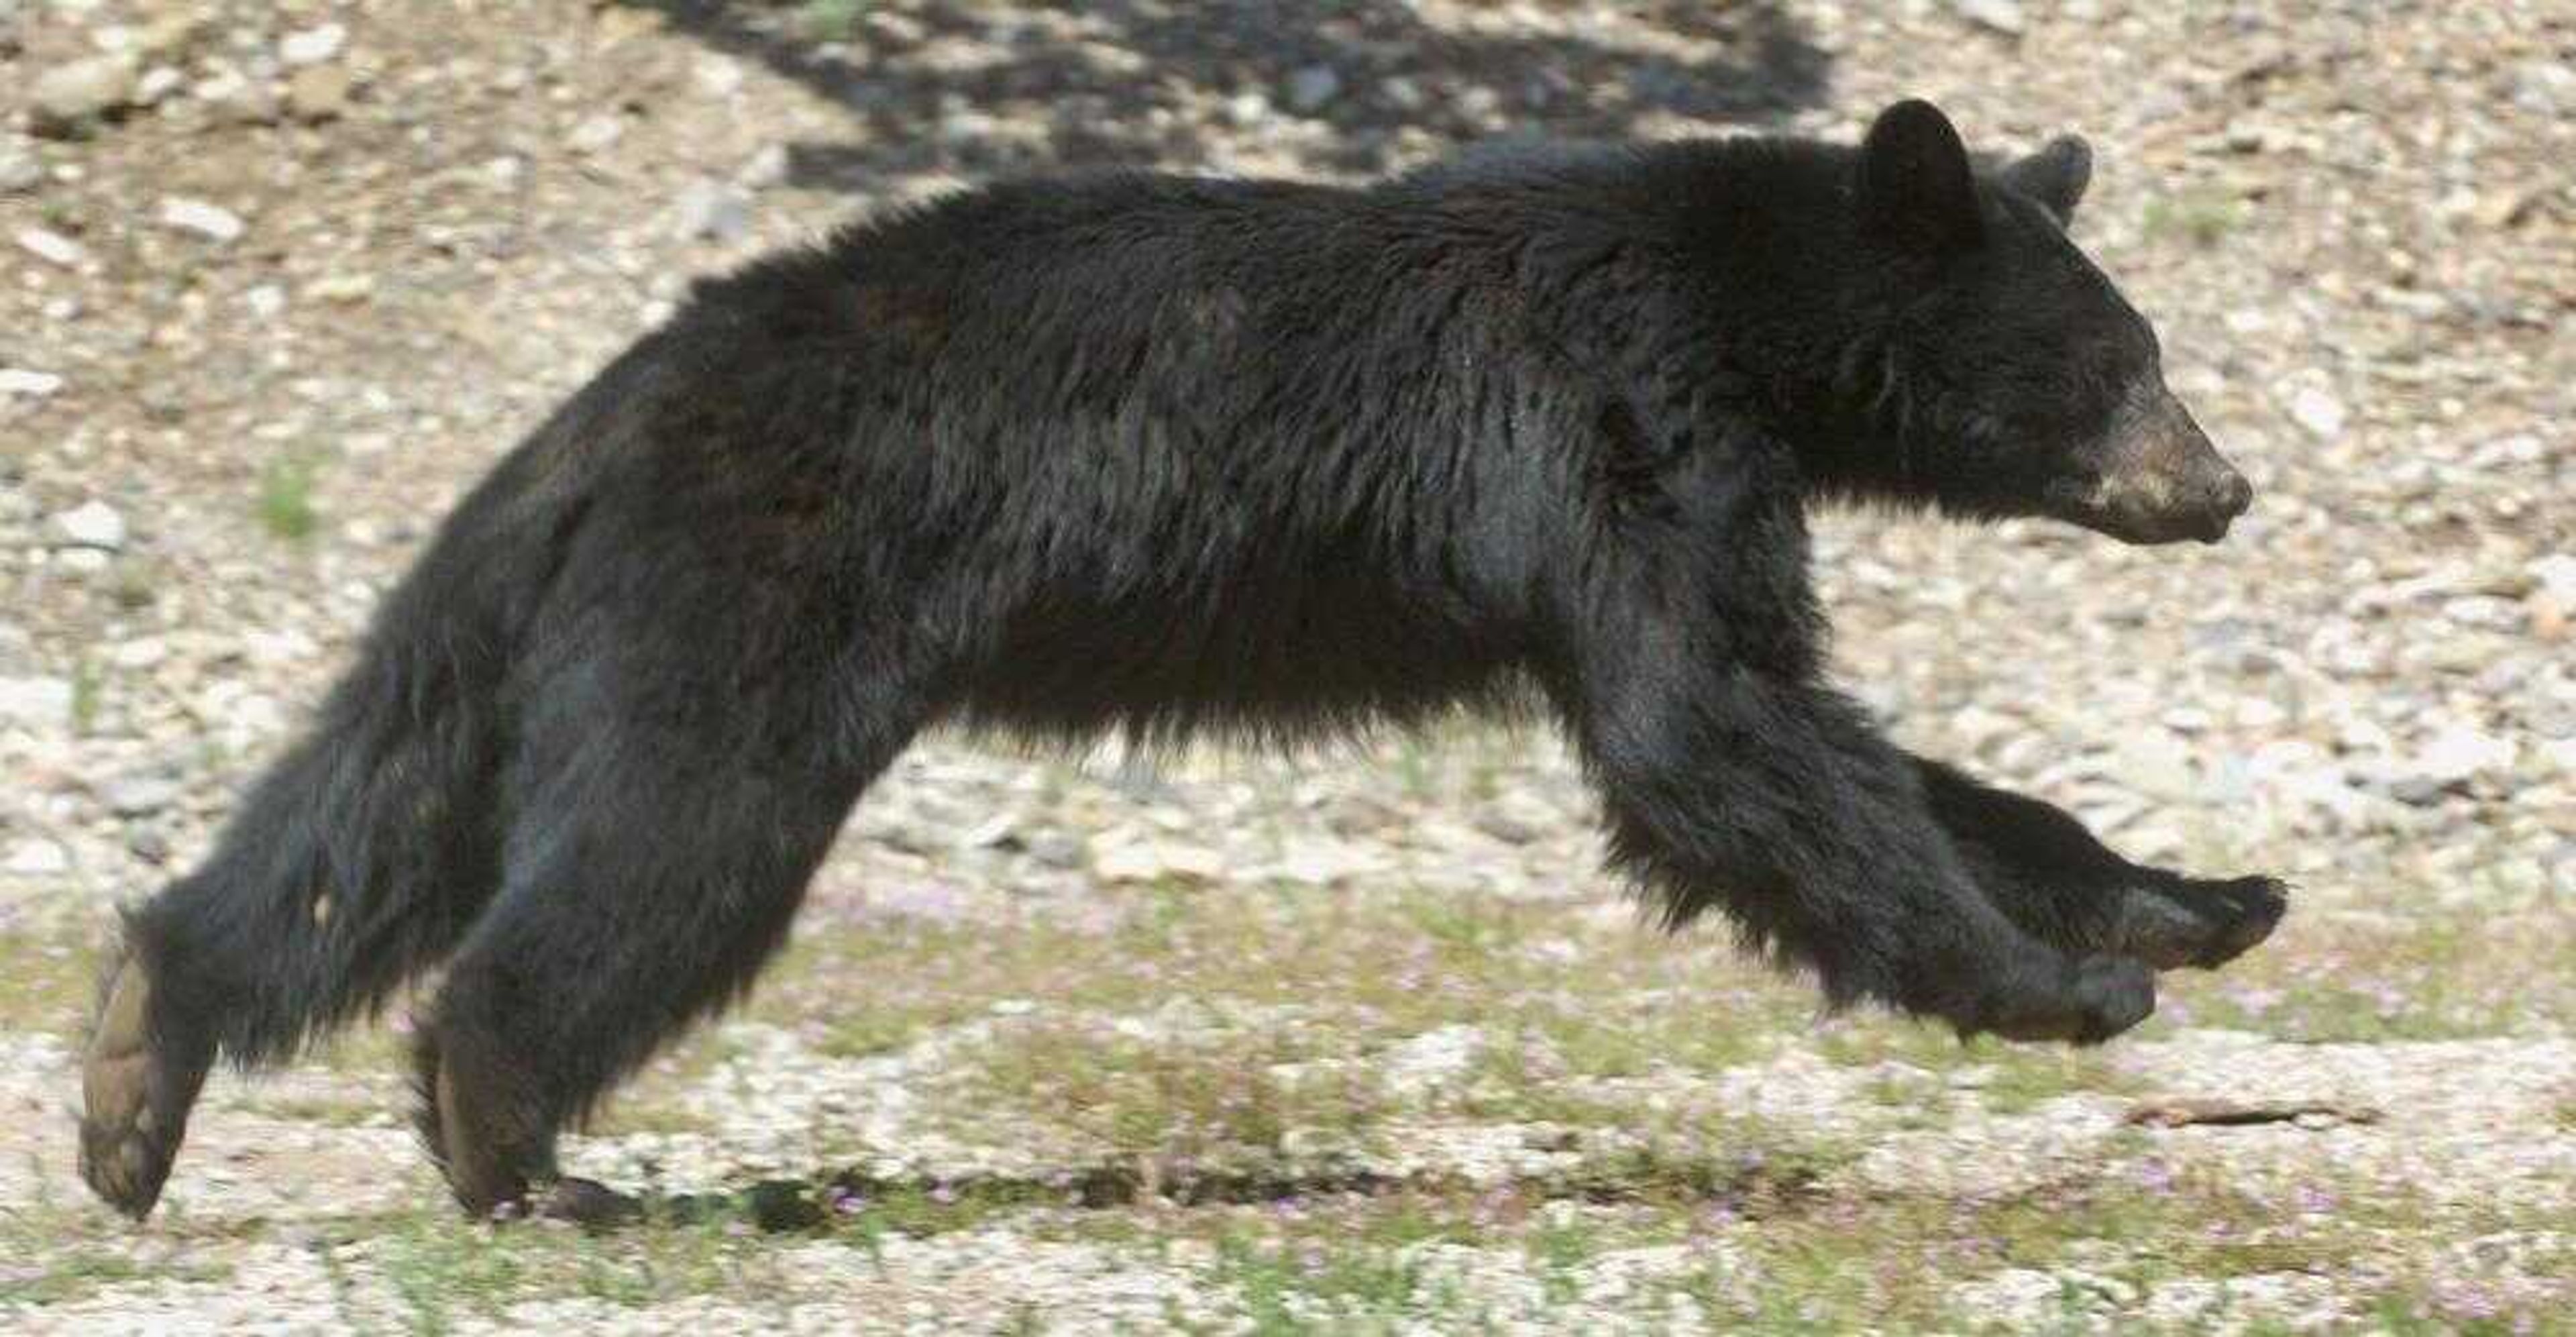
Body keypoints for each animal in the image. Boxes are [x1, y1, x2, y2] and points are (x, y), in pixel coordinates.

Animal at [80, 101, 2287, 1226]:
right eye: (2118, 360)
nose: (2222, 485)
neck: (1741, 307)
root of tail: (615, 402)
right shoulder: (1620, 426)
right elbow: (1712, 725)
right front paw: (2057, 985)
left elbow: (1820, 738)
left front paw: (2197, 896)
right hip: (751, 593)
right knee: (661, 841)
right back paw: (504, 1133)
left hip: (524, 613)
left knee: (366, 813)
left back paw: (134, 1057)